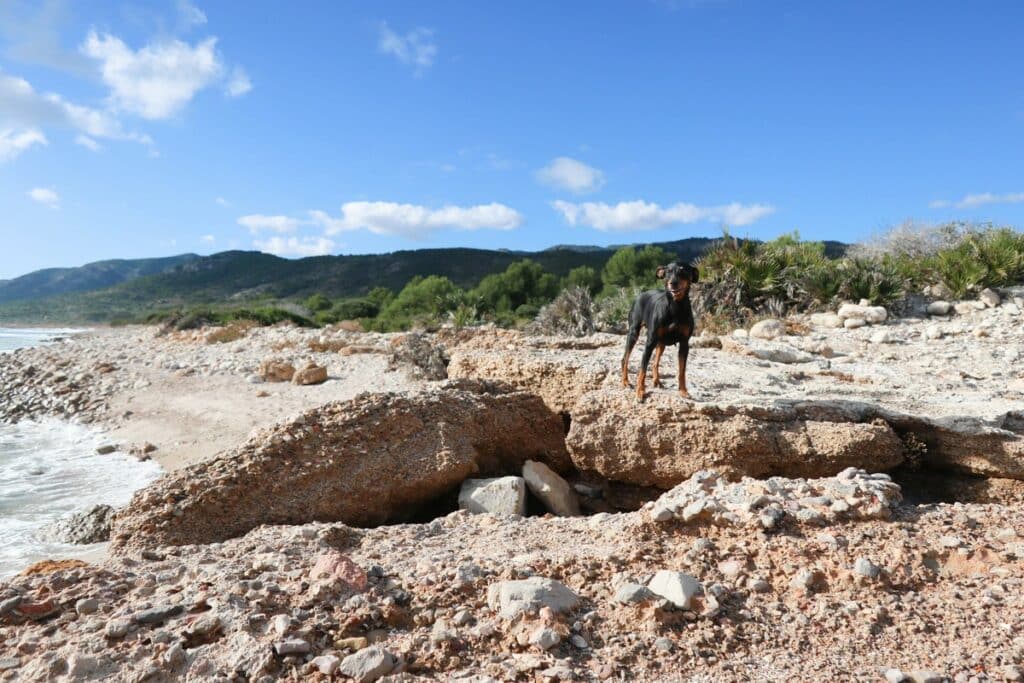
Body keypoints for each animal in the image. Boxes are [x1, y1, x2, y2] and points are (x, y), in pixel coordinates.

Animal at [618, 262, 700, 401]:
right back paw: (625, 381)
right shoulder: (650, 342)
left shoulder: (684, 344)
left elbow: (682, 371)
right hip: (633, 333)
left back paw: (657, 381)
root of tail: (641, 293)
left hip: (661, 343)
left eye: (683, 271)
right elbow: (642, 370)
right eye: (668, 272)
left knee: (655, 363)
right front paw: (640, 392)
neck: (675, 306)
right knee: (625, 358)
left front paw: (683, 391)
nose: (673, 283)